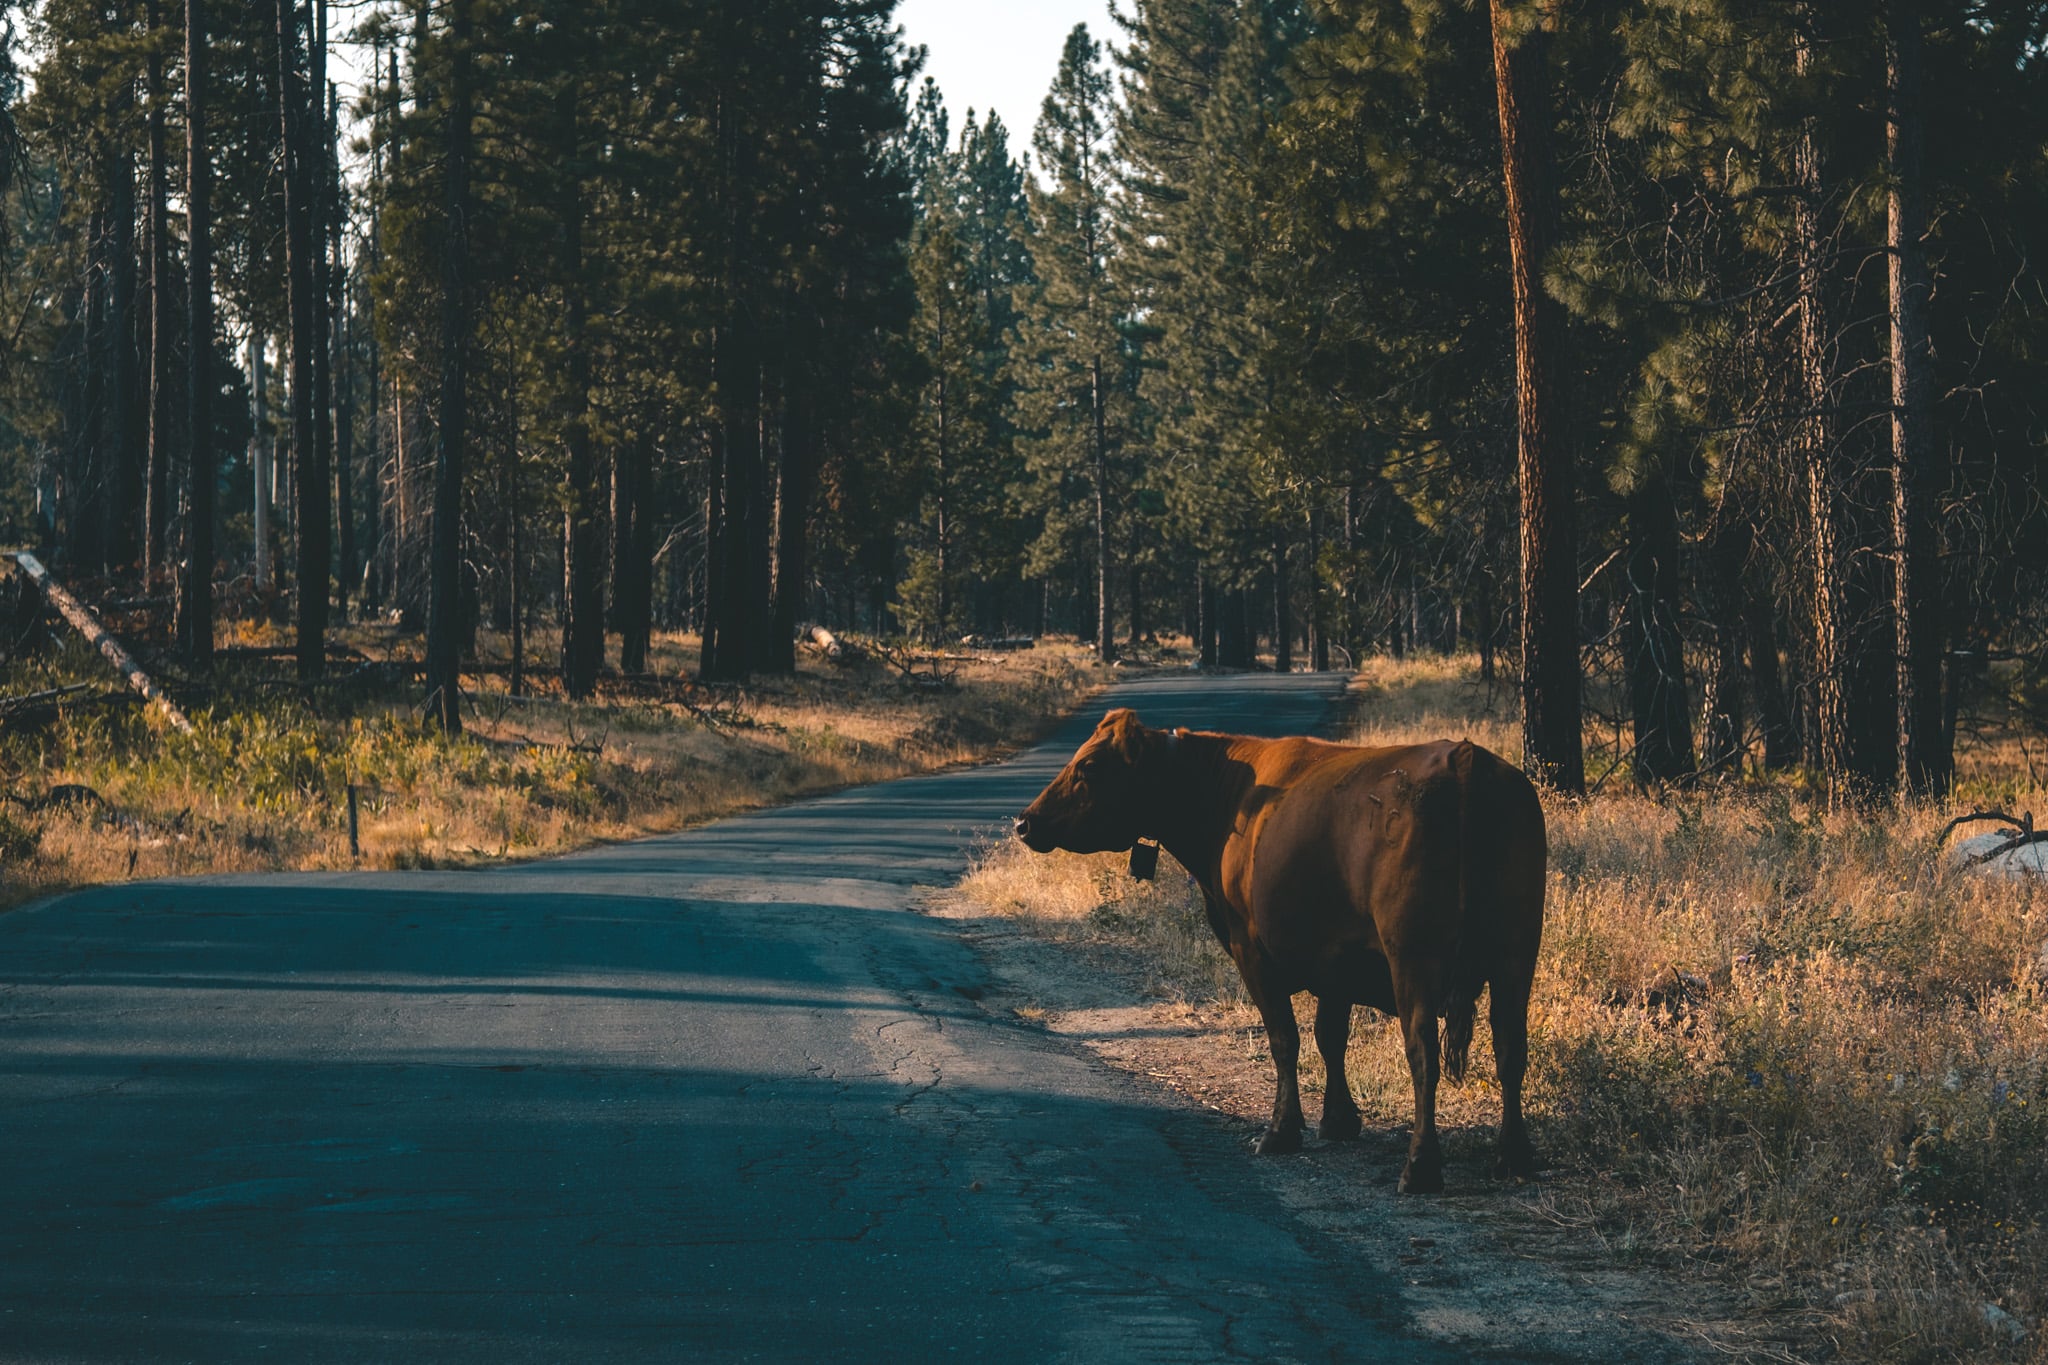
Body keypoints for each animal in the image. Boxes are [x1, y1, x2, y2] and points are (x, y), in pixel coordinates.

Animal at [1013, 708, 1546, 1194]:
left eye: (1088, 767)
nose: (1024, 822)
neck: (1227, 798)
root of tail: (1465, 757)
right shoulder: (1337, 957)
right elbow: (1330, 1036)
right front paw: (1339, 1120)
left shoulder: (1251, 947)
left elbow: (1285, 1039)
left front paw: (1281, 1131)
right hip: (1517, 953)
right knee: (1510, 1047)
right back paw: (1514, 1157)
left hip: (1416, 957)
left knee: (1423, 1053)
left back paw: (1420, 1167)